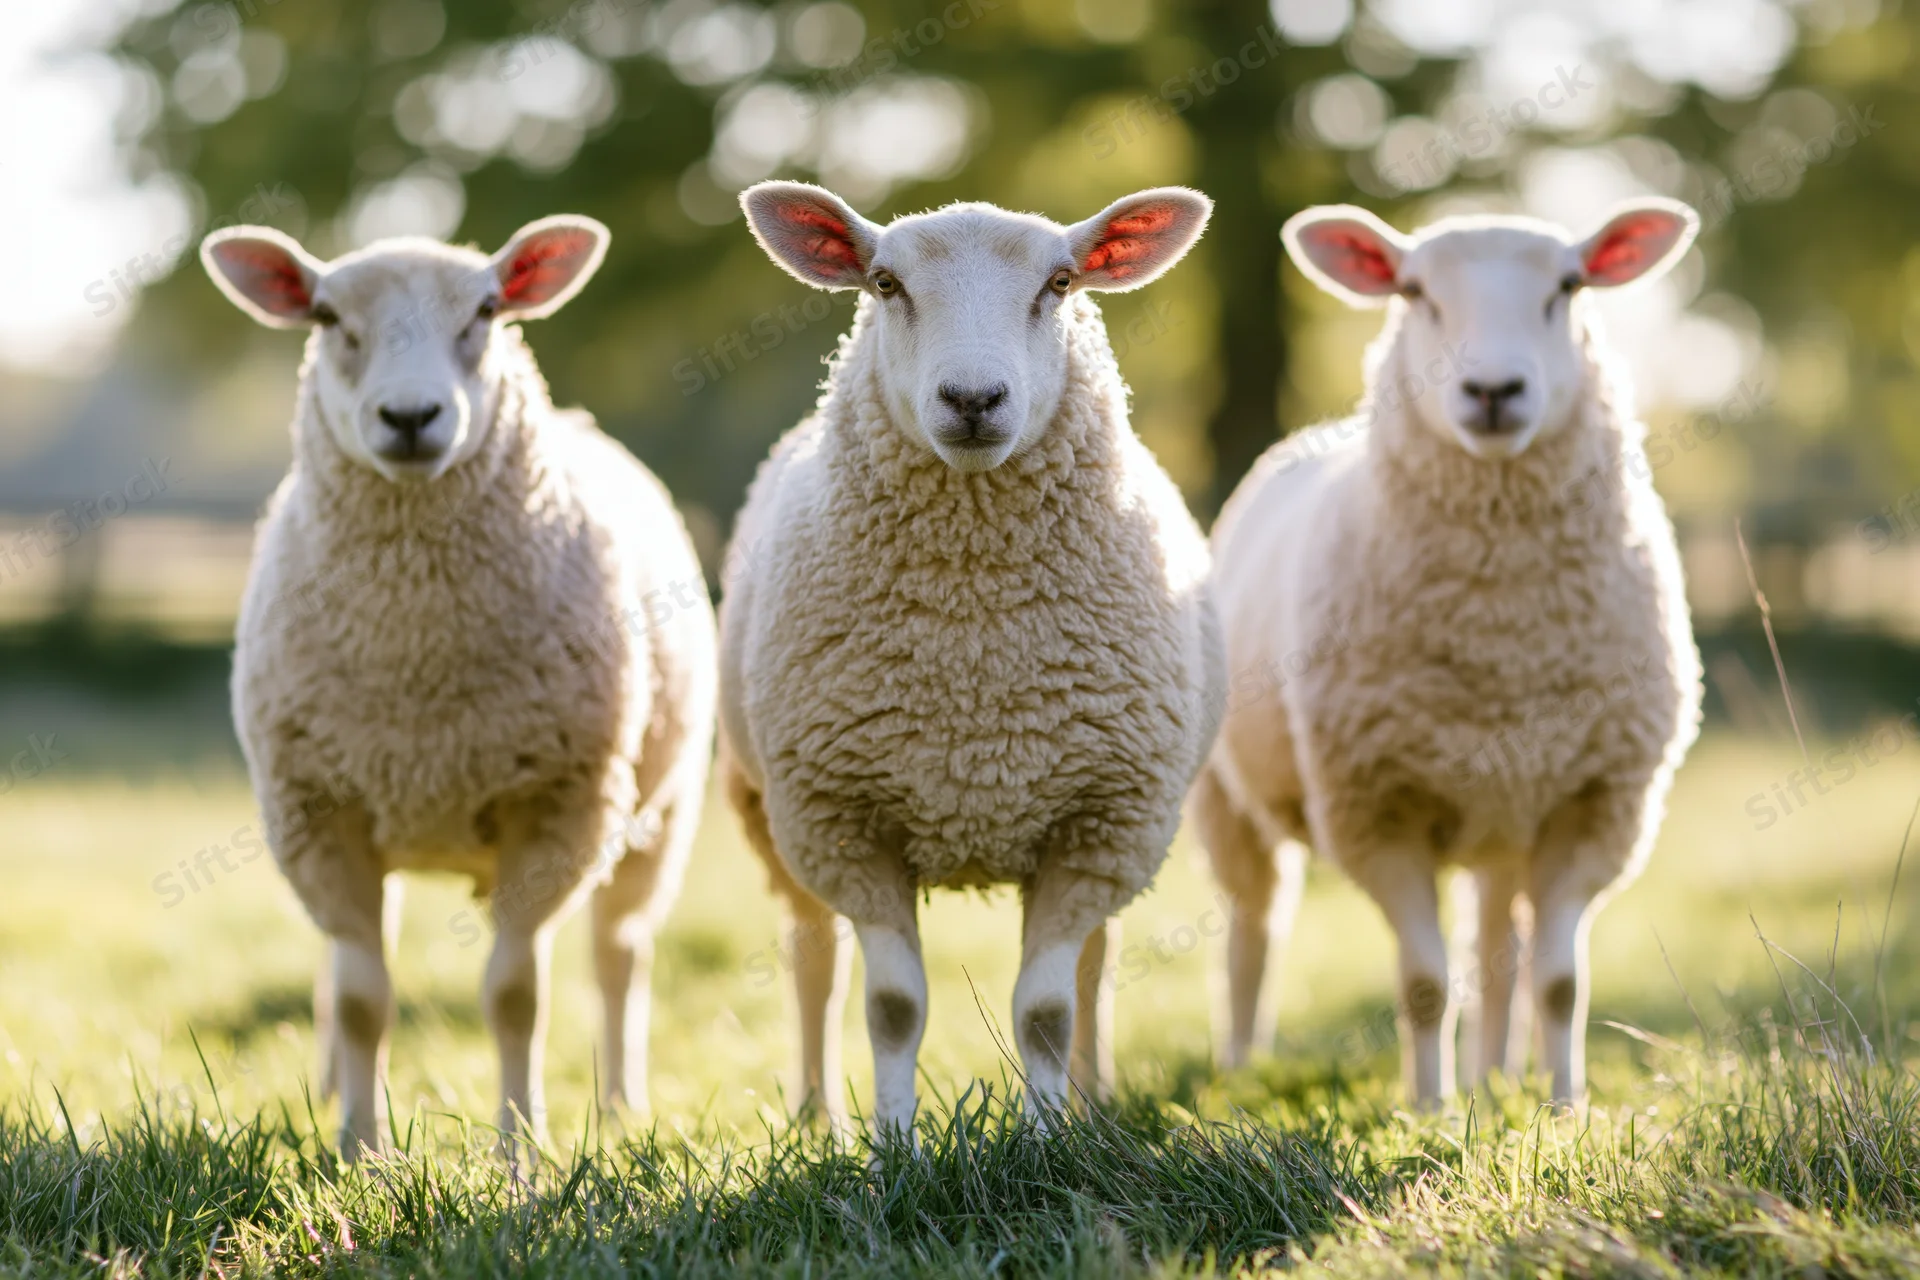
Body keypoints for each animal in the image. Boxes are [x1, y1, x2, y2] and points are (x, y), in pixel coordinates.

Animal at [201, 216, 716, 1156]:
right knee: (337, 965)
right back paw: (327, 1087)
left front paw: (521, 1152)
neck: (421, 665)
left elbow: (515, 997)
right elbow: (363, 998)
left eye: (486, 310)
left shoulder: (557, 805)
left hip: (659, 810)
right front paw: (360, 1152)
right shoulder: (318, 813)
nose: (410, 417)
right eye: (327, 316)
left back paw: (621, 1104)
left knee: (621, 952)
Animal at [719, 182, 1225, 1137]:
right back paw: (815, 1113)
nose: (973, 397)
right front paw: (893, 1148)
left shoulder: (1101, 818)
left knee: (1097, 962)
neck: (974, 646)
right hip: (771, 811)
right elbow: (892, 1007)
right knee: (812, 954)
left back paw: (1095, 1106)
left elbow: (1048, 1009)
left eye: (1060, 283)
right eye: (885, 283)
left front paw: (1047, 1144)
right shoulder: (843, 819)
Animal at [1195, 200, 1704, 1106]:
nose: (1494, 390)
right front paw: (1429, 1109)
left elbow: (1558, 982)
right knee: (1254, 927)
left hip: (1505, 805)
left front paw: (1565, 1106)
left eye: (1567, 287)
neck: (1501, 642)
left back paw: (1496, 1078)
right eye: (1415, 291)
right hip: (1231, 801)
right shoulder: (1377, 808)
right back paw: (1243, 1065)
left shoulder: (1595, 805)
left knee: (1500, 946)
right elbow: (1426, 982)